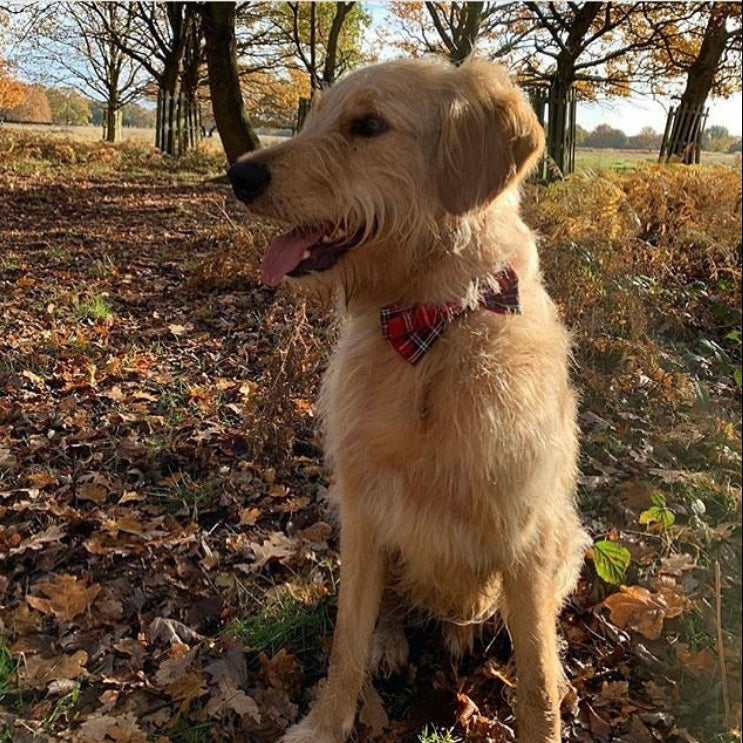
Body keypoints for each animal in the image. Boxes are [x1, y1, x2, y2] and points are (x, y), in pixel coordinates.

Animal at [230, 56, 588, 743]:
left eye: (368, 125)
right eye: (315, 115)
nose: (239, 174)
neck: (428, 329)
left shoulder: (526, 536)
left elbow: (534, 677)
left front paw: (546, 698)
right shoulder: (365, 510)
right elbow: (345, 640)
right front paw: (326, 724)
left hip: (568, 540)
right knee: (390, 609)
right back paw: (393, 640)